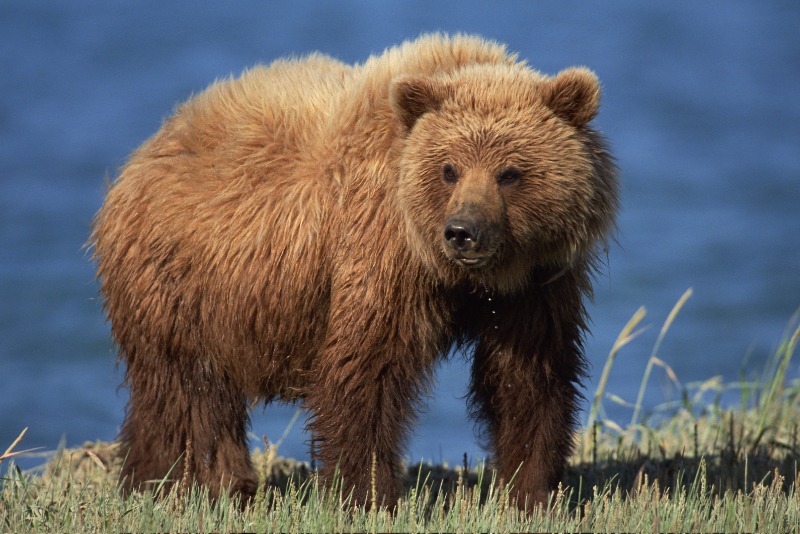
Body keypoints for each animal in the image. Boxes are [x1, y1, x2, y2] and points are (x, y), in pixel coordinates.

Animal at [92, 32, 620, 510]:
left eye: (509, 172)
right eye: (449, 169)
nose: (462, 231)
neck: (464, 278)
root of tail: (141, 156)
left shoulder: (536, 283)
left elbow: (527, 377)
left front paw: (532, 492)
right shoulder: (381, 253)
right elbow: (367, 370)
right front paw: (366, 495)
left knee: (165, 399)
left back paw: (147, 480)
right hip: (182, 283)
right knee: (192, 393)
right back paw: (212, 486)